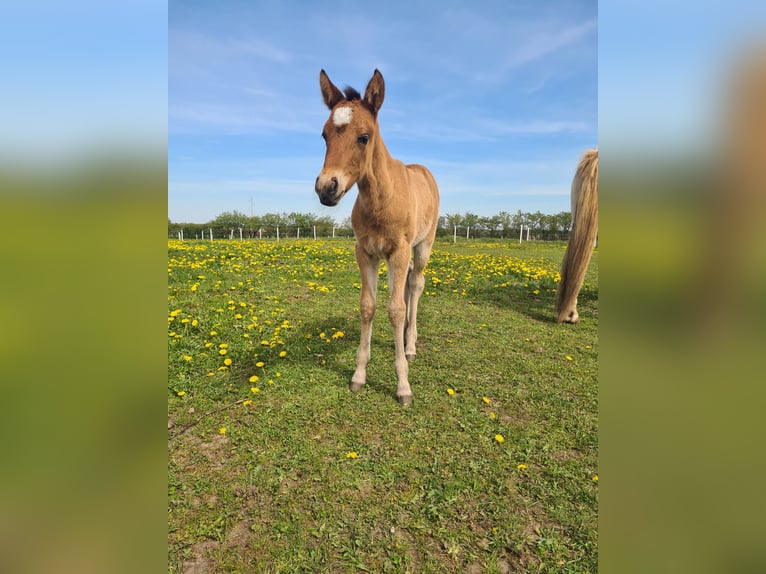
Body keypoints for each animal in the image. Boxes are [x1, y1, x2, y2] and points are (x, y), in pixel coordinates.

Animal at [316, 70, 440, 408]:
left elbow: (395, 310)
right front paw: (359, 373)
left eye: (364, 137)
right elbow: (368, 306)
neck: (381, 198)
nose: (326, 188)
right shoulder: (365, 252)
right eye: (324, 135)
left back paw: (410, 345)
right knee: (405, 287)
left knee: (416, 285)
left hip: (422, 246)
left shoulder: (399, 251)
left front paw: (403, 386)